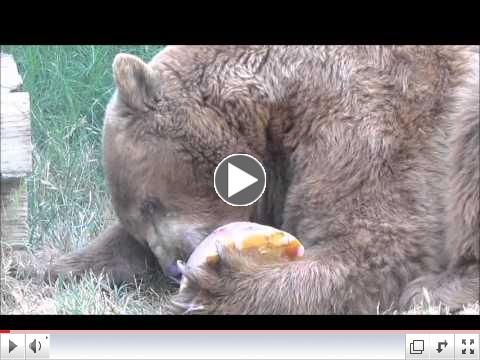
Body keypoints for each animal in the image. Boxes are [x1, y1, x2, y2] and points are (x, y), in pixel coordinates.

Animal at [48, 45, 480, 314]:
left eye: (151, 203)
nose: (172, 268)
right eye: (138, 219)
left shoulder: (370, 113)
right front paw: (53, 265)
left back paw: (438, 289)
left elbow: (375, 245)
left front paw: (214, 285)